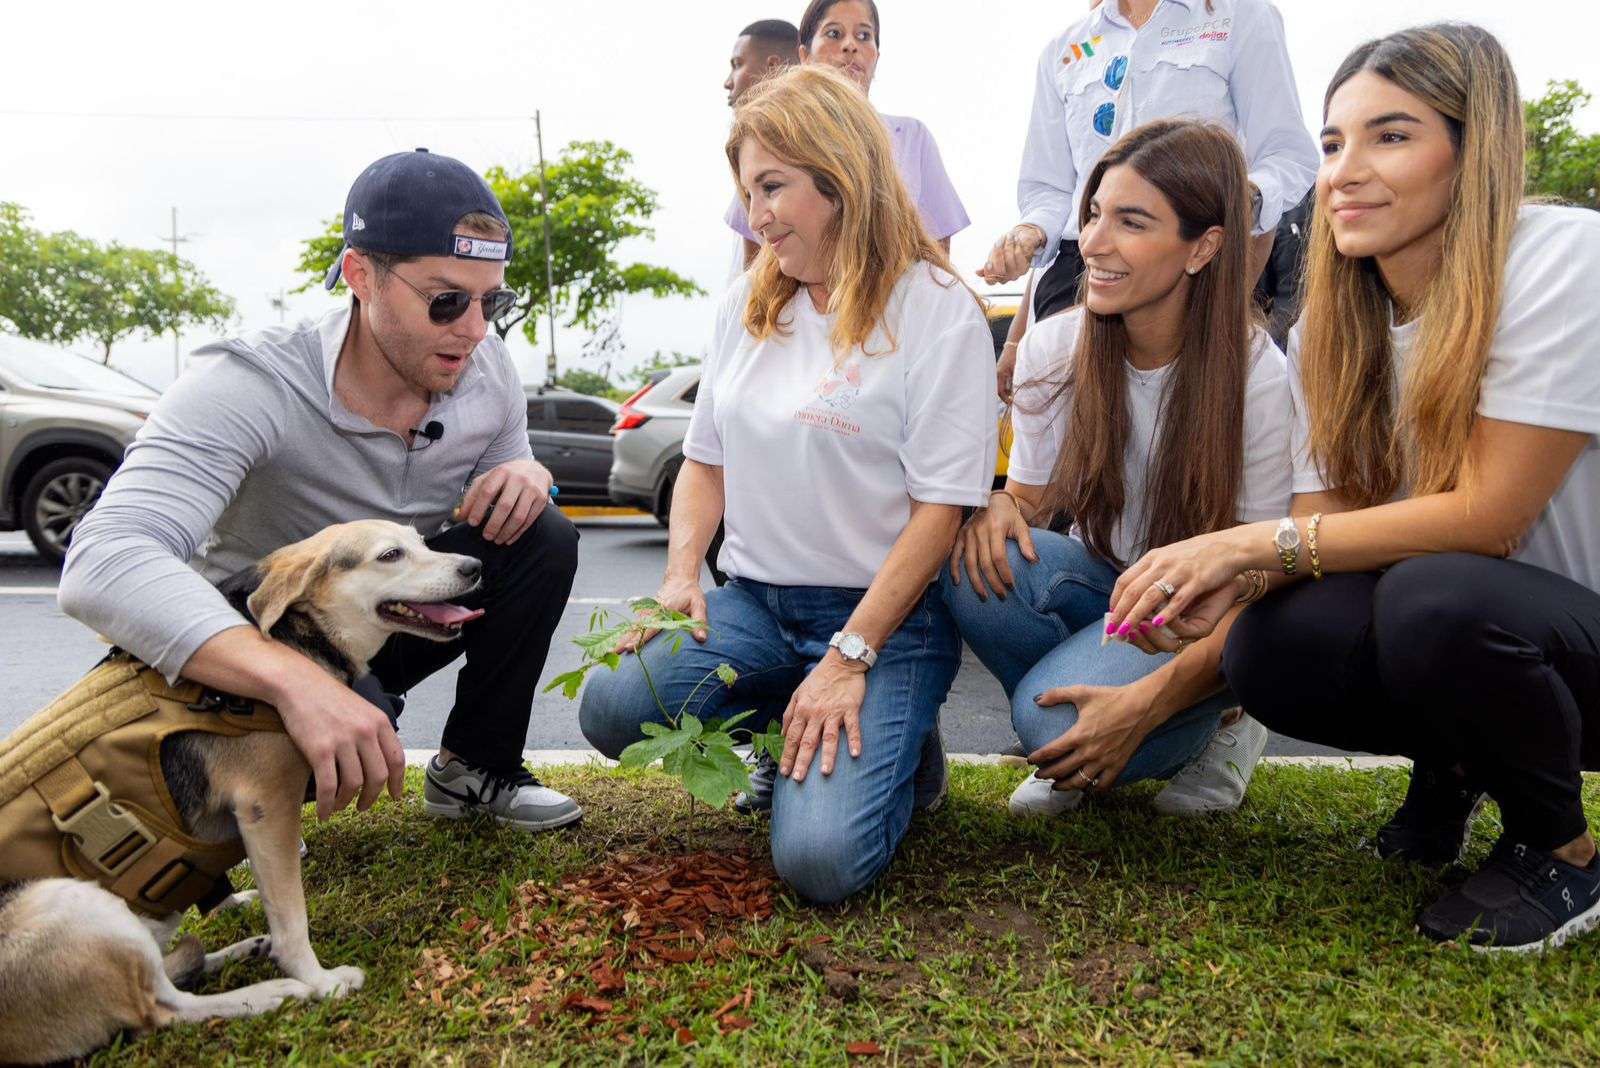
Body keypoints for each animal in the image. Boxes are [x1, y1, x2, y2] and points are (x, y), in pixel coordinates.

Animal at [0, 518, 483, 1061]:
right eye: (391, 555)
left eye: (421, 541)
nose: (474, 566)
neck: (298, 633)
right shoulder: (267, 806)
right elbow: (292, 920)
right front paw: (320, 981)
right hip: (71, 904)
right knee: (162, 1009)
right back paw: (271, 992)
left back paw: (242, 947)